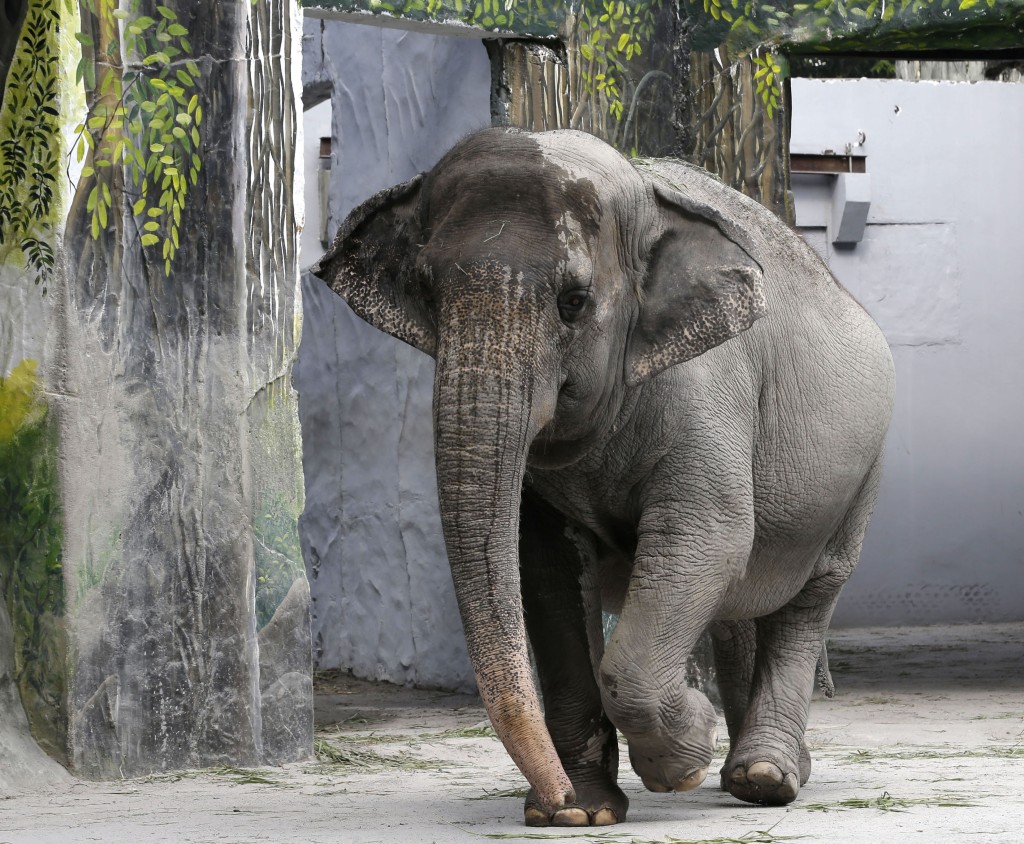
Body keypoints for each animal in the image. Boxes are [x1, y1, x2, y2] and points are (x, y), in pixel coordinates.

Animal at [313, 128, 897, 827]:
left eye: (574, 302)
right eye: (426, 292)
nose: (555, 800)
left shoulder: (708, 394)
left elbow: (706, 538)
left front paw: (680, 762)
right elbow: (546, 569)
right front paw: (585, 812)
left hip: (863, 469)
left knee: (810, 596)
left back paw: (764, 779)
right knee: (738, 608)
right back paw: (760, 771)